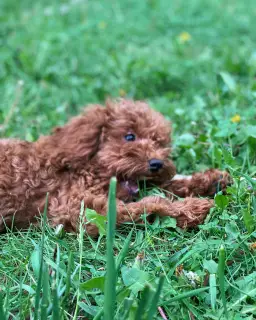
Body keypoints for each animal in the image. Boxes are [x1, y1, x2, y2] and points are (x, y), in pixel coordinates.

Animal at [0, 99, 230, 235]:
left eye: (159, 144)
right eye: (129, 137)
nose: (157, 163)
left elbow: (164, 186)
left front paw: (212, 180)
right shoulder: (75, 209)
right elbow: (152, 203)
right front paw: (194, 208)